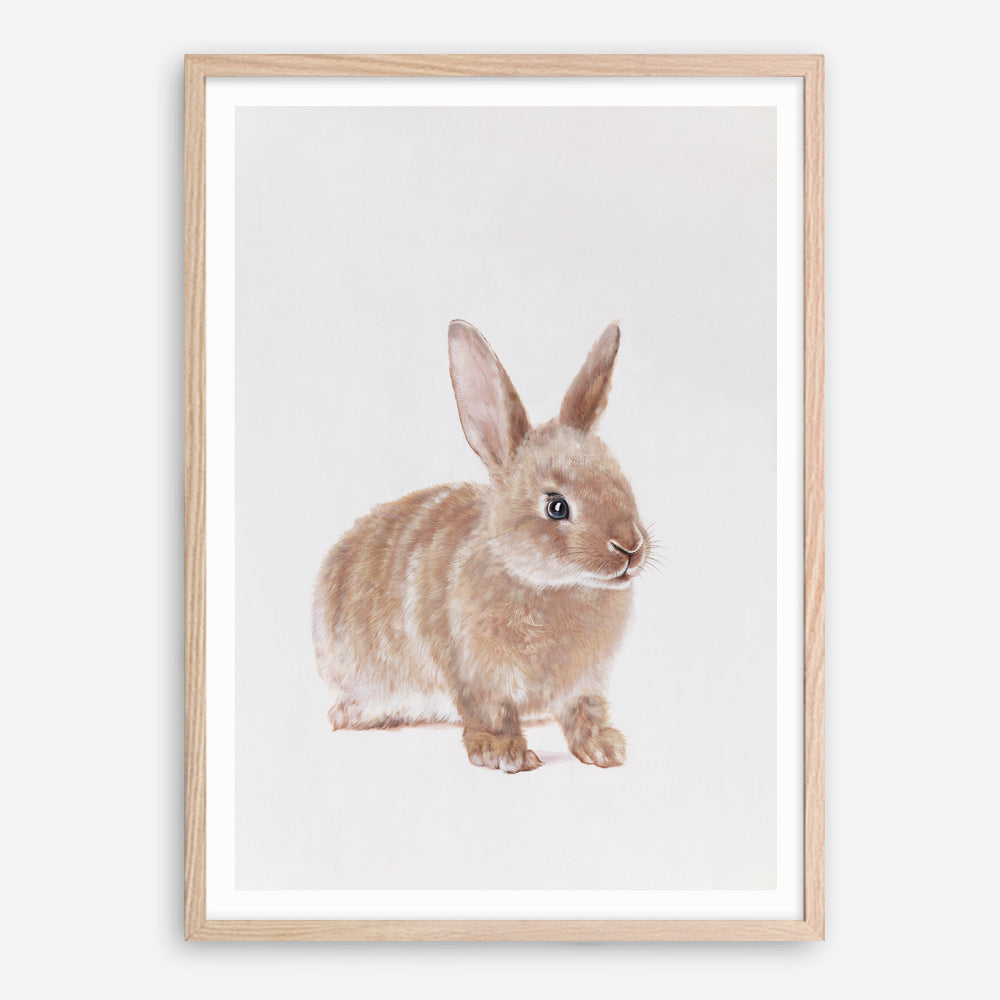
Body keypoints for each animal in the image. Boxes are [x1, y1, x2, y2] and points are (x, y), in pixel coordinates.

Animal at [312, 319, 650, 773]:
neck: (548, 584)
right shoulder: (478, 673)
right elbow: (492, 712)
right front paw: (505, 754)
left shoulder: (584, 684)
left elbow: (585, 712)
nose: (630, 547)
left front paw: (606, 750)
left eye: (622, 482)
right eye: (557, 506)